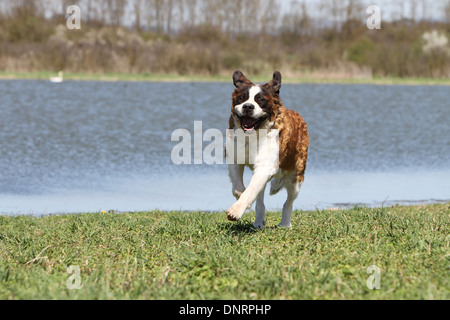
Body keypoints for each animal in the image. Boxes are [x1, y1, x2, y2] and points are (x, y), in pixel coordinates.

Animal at [225, 71, 310, 229]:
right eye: (242, 98)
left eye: (261, 101)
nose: (248, 106)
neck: (253, 135)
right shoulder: (233, 157)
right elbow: (239, 188)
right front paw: (241, 196)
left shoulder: (265, 165)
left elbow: (251, 190)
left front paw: (236, 210)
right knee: (260, 199)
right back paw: (259, 221)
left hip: (296, 177)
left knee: (288, 202)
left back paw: (285, 224)